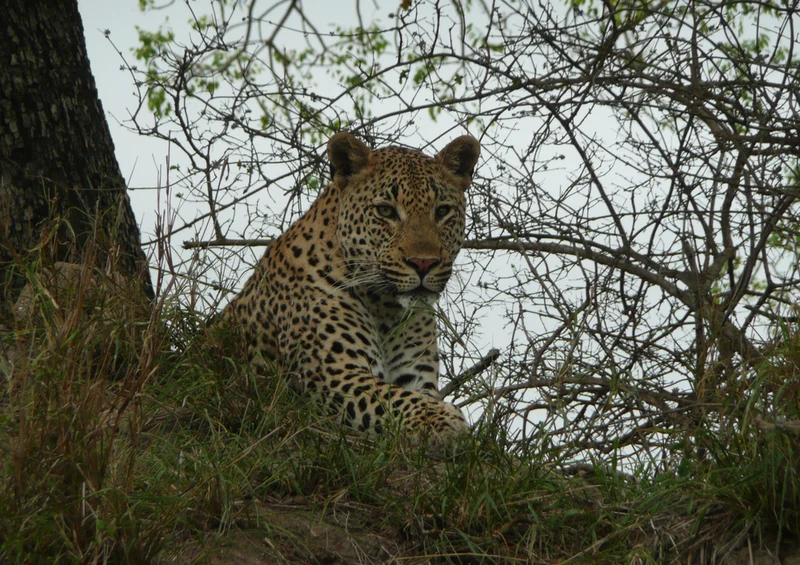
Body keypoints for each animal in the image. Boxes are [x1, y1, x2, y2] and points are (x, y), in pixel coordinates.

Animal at [219, 131, 481, 450]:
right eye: (385, 211)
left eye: (442, 211)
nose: (423, 263)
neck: (385, 308)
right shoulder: (334, 375)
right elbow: (393, 399)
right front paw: (445, 422)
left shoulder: (416, 377)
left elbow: (409, 395)